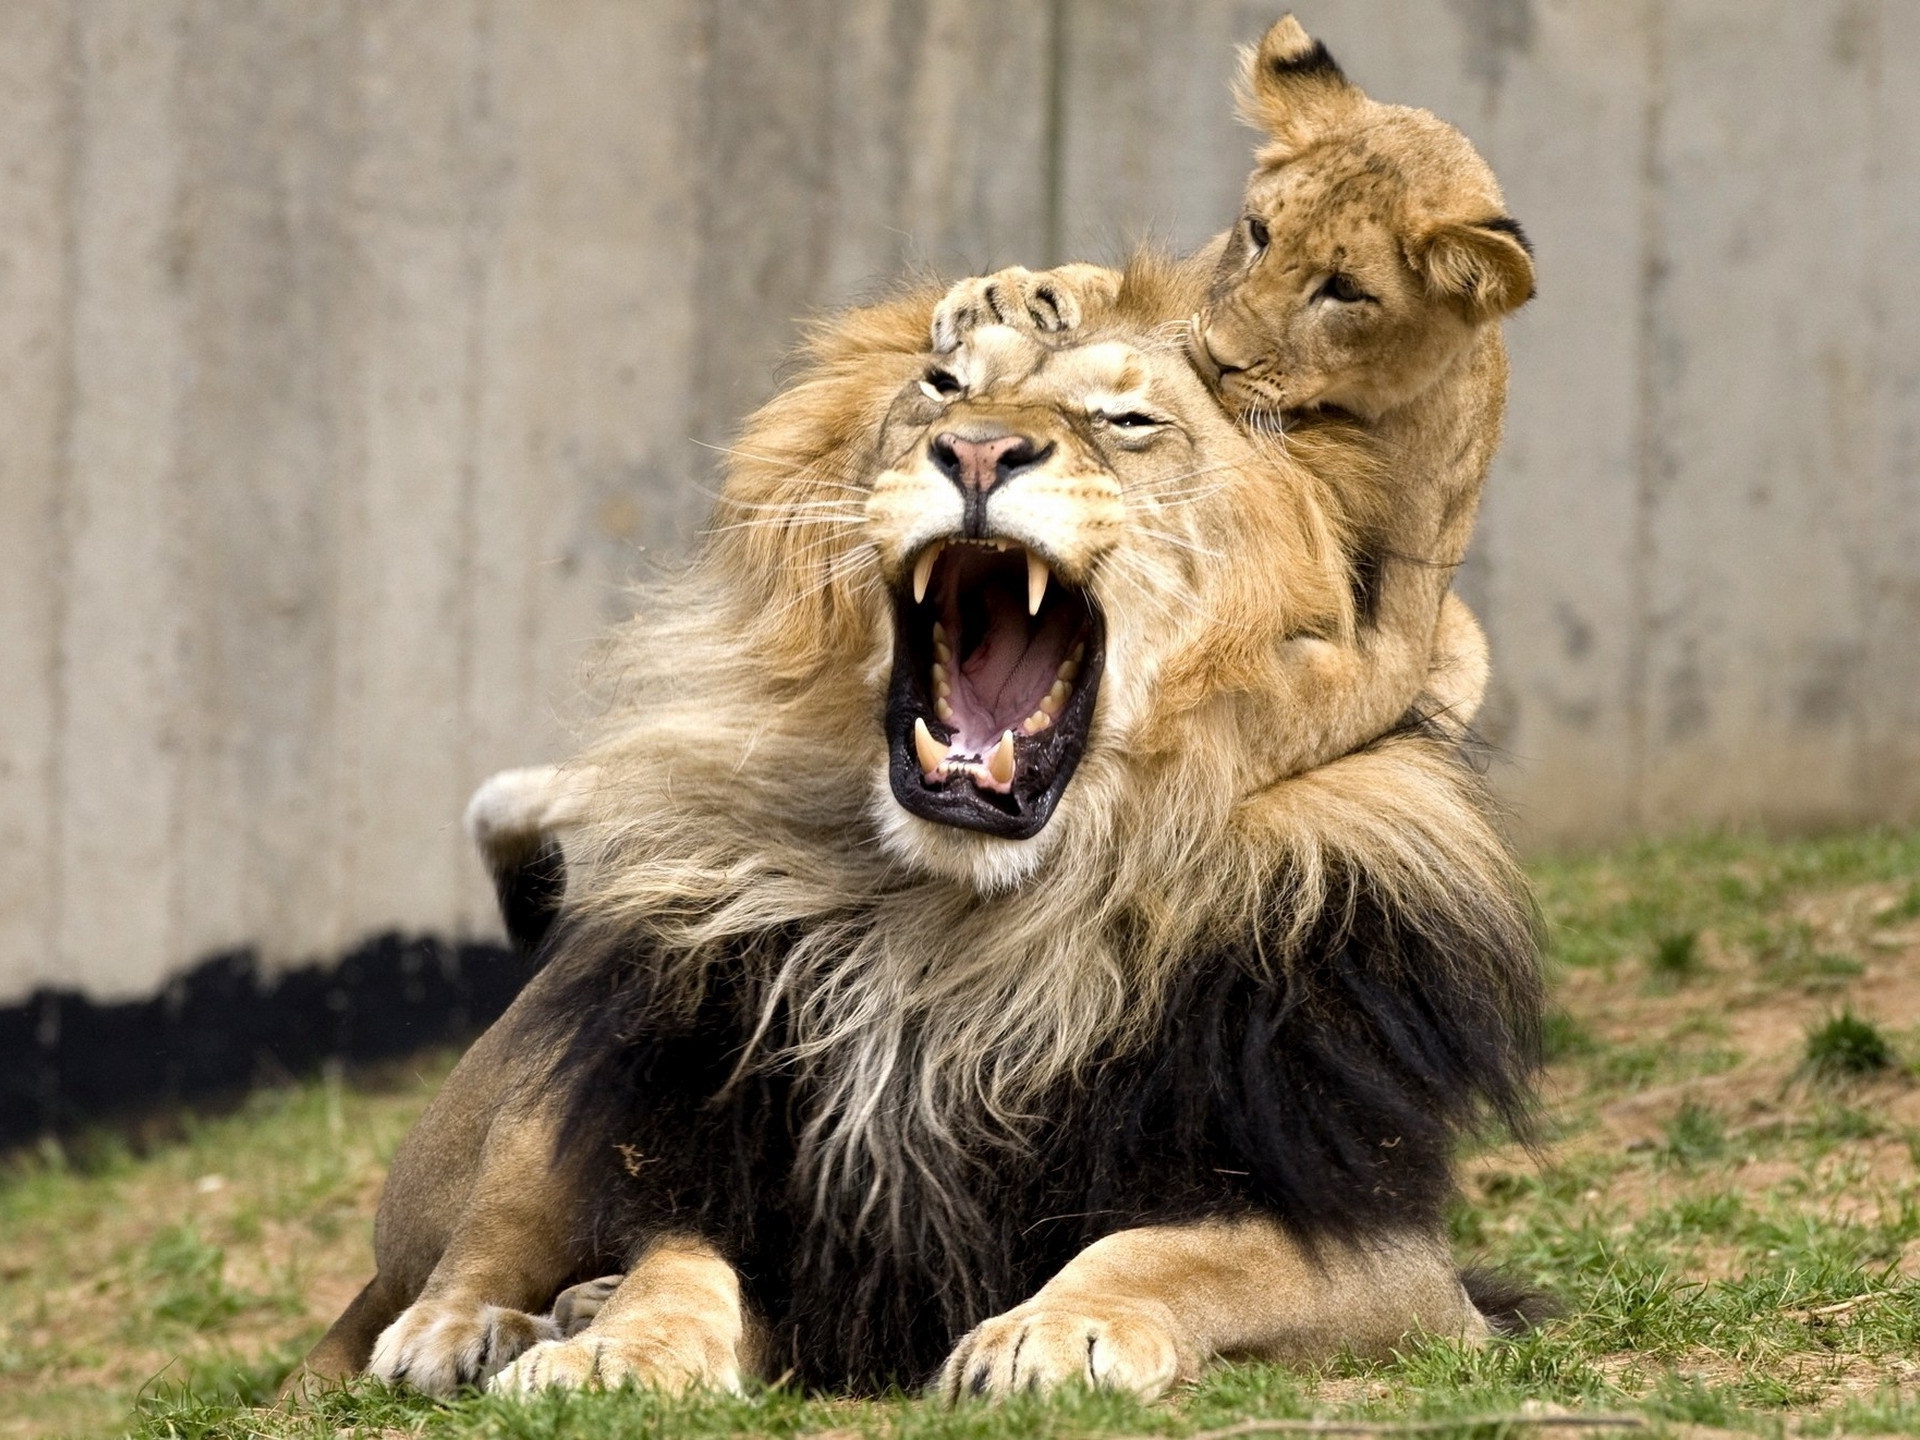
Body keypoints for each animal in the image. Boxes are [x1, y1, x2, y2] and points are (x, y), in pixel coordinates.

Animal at [294, 277, 1541, 1401]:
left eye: (1128, 421)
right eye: (944, 389)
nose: (978, 452)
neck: (966, 936)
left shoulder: (1395, 1262)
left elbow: (1181, 1251)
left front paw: (1054, 1331)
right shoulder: (763, 1196)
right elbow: (675, 1264)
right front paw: (614, 1347)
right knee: (458, 1256)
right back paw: (470, 1329)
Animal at [933, 13, 1533, 784]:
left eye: (1345, 290)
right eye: (1259, 232)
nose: (1215, 355)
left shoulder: (1403, 624)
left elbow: (1311, 703)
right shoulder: (1187, 292)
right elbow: (1124, 291)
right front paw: (1007, 295)